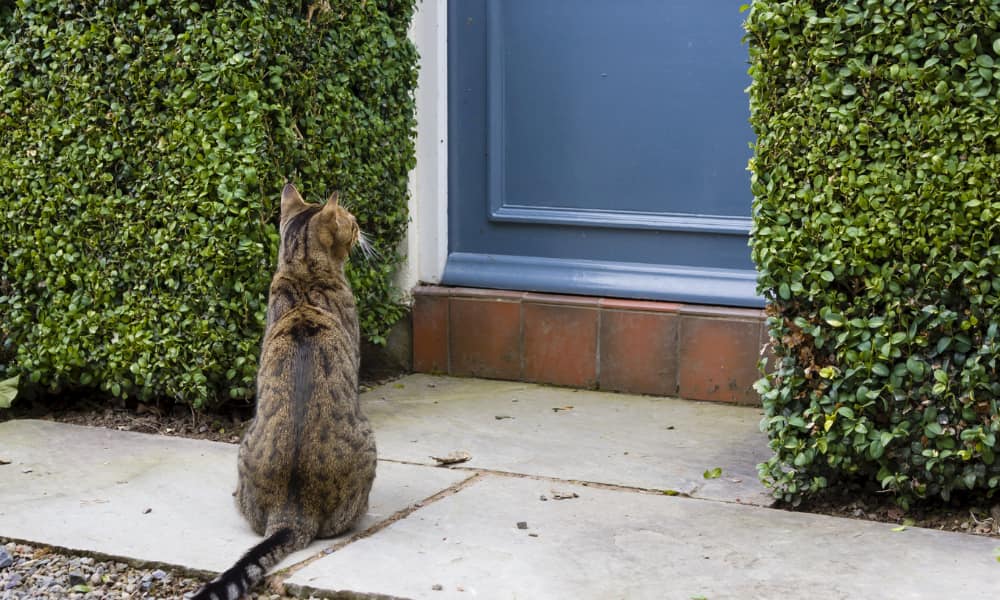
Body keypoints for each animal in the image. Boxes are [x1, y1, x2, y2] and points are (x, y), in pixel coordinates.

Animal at [190, 183, 376, 600]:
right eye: (351, 221)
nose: (362, 227)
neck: (303, 274)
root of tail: (291, 514)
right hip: (369, 437)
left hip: (245, 439)